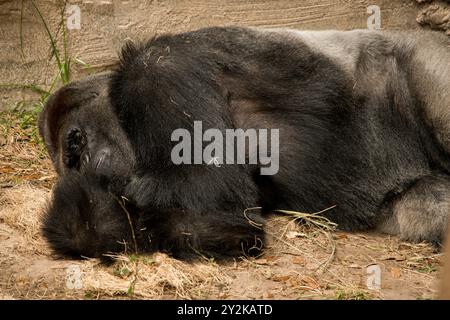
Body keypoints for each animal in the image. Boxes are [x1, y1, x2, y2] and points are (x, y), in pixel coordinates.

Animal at [39, 26, 450, 260]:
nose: (90, 166)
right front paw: (87, 214)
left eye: (75, 145)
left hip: (423, 57)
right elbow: (209, 226)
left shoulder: (158, 70)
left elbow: (207, 208)